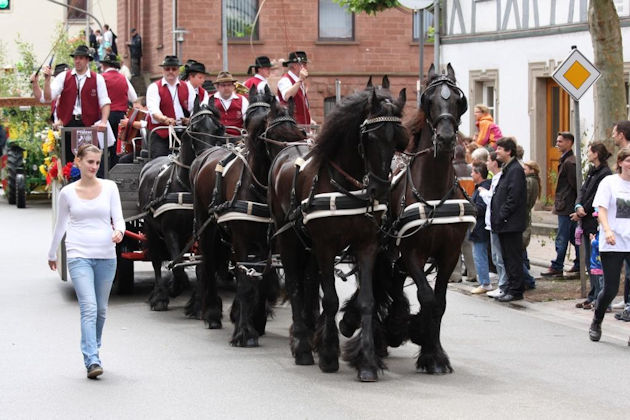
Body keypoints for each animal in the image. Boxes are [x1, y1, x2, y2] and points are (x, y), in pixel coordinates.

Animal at [138, 100, 225, 312]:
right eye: (194, 128)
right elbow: (175, 262)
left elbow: (201, 265)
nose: (206, 158)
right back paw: (159, 295)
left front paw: (196, 303)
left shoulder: (201, 230)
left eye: (218, 128)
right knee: (156, 260)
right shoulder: (169, 230)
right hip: (150, 227)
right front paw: (175, 286)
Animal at [190, 88, 306, 344]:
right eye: (275, 135)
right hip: (206, 226)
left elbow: (261, 278)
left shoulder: (270, 242)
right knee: (208, 263)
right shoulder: (242, 240)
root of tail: (205, 154)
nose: (292, 166)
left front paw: (257, 320)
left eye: (299, 134)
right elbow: (244, 280)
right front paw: (244, 331)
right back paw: (212, 312)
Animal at [268, 81, 408, 380]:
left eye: (397, 140)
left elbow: (367, 300)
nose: (381, 190)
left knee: (308, 285)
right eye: (370, 136)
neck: (345, 186)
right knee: (295, 286)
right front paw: (329, 355)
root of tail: (286, 150)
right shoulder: (325, 246)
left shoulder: (366, 245)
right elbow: (331, 299)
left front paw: (367, 362)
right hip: (287, 239)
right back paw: (302, 345)